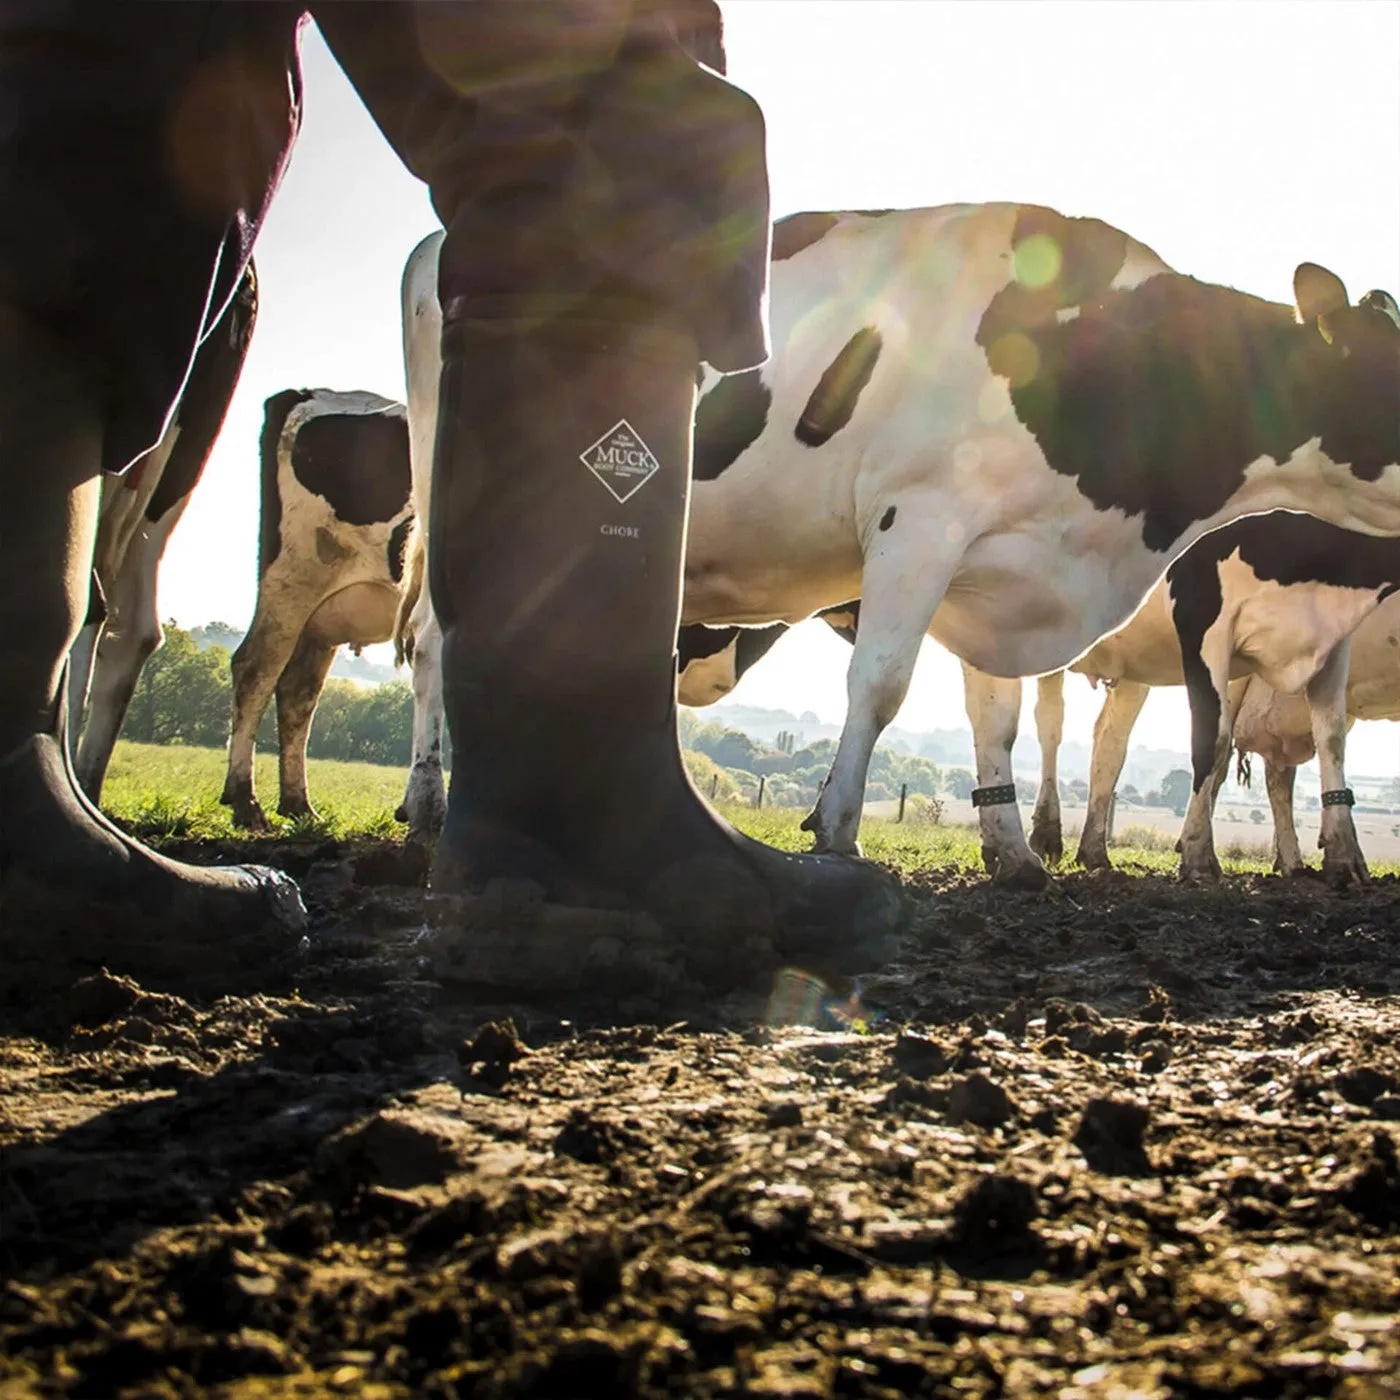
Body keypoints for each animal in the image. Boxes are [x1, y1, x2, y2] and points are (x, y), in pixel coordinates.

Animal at [218, 386, 411, 828]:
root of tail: (308, 392)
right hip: (292, 578)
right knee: (255, 670)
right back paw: (245, 800)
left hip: (321, 620)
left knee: (298, 689)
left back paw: (297, 803)